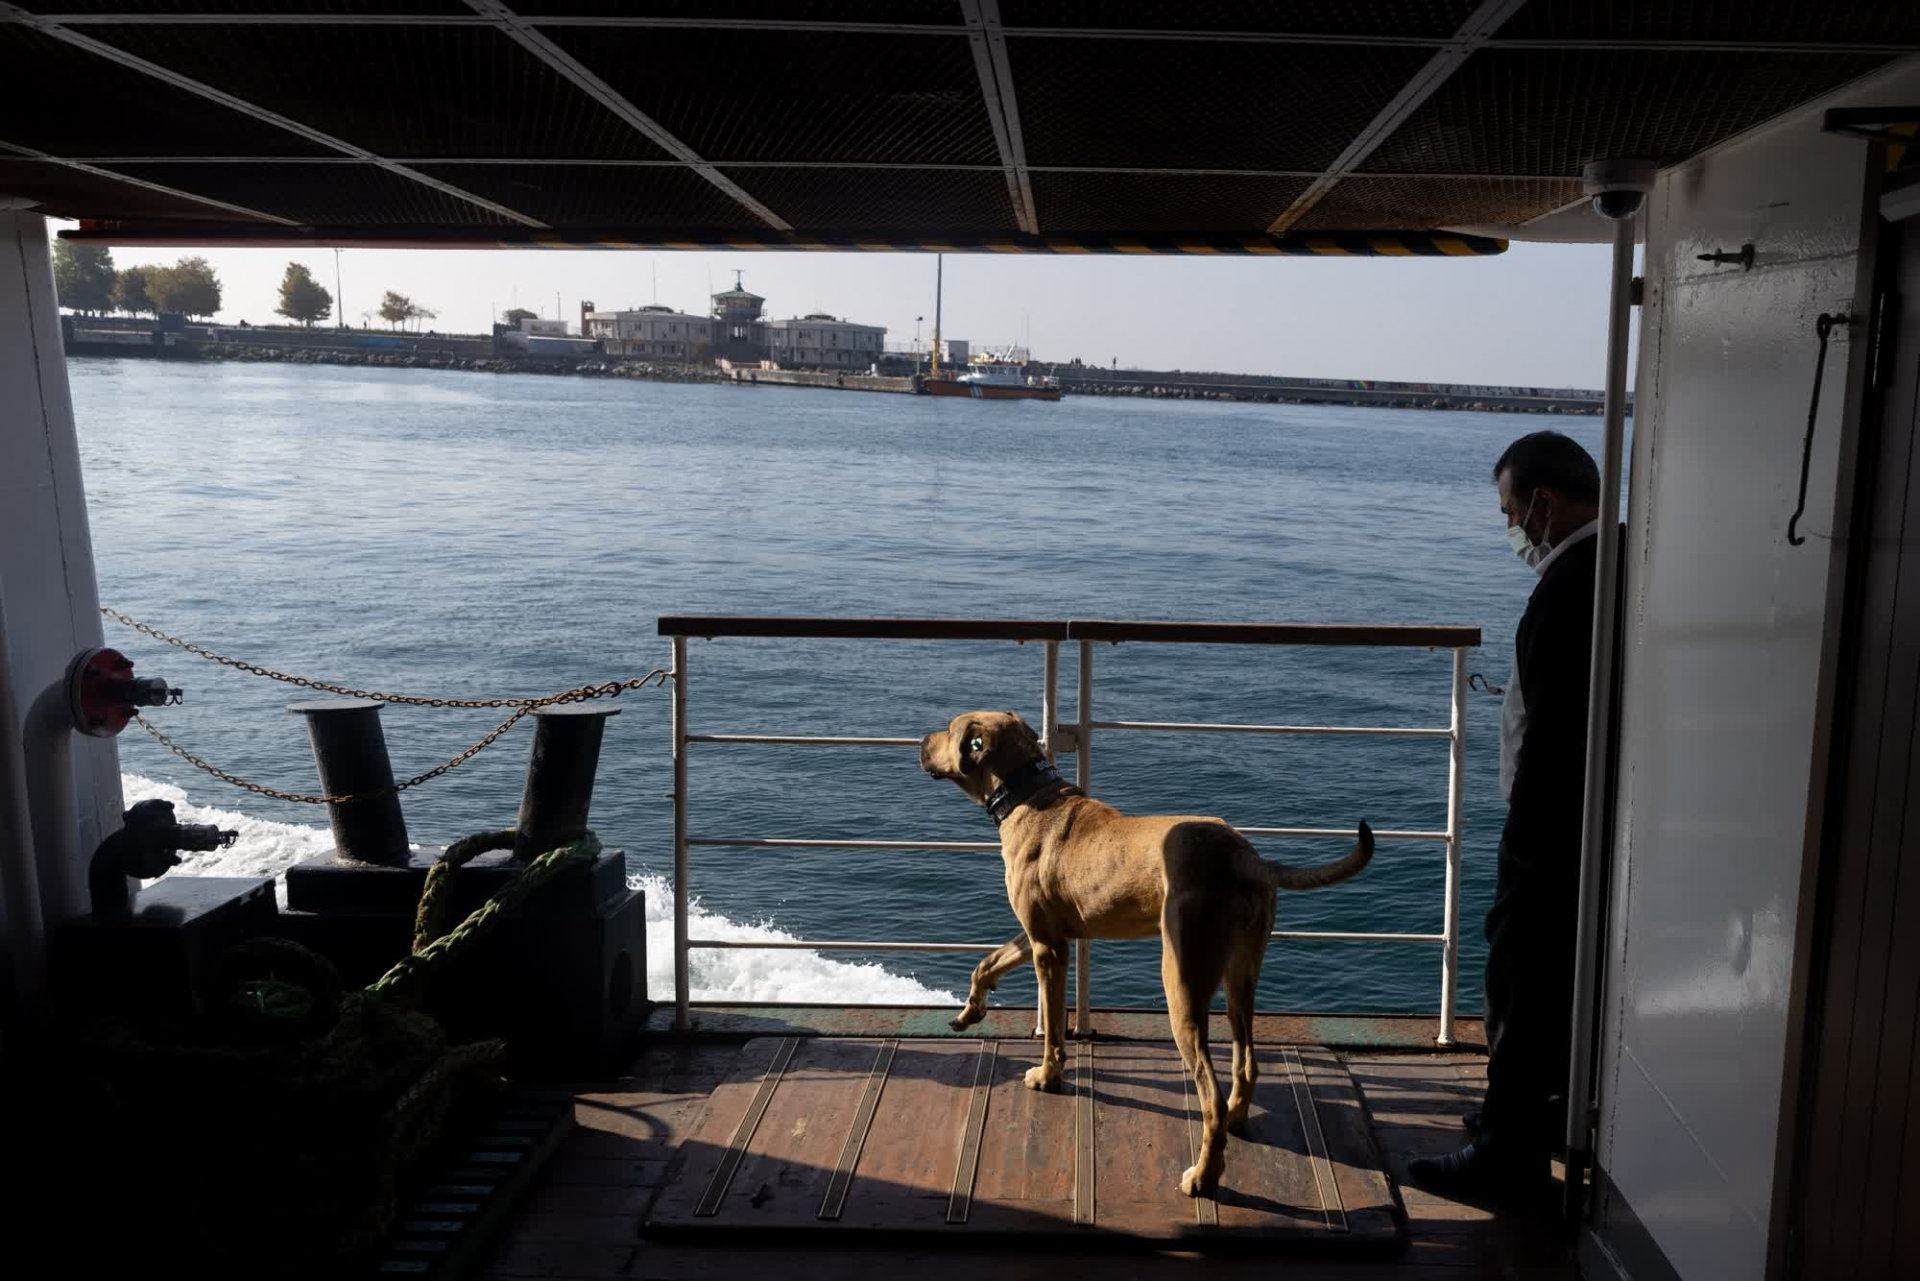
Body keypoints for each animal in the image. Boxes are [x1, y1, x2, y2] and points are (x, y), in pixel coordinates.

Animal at [913, 710, 1367, 1206]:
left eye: (950, 730)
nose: (919, 741)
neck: (1026, 793)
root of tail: (1245, 857)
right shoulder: (1040, 934)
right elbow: (987, 963)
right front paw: (969, 1012)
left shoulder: (1049, 950)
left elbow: (1052, 1028)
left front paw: (1047, 1076)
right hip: (1241, 974)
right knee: (1246, 1062)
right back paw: (1236, 1119)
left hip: (1182, 982)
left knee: (1208, 1094)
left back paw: (1204, 1177)